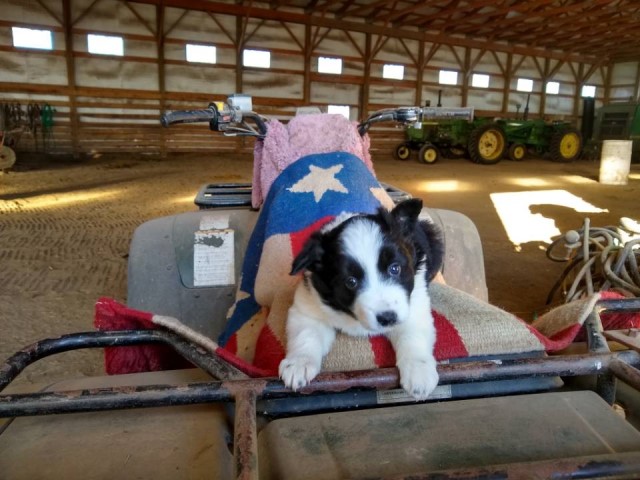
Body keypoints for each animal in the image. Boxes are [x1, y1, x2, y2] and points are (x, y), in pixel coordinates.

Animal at [280, 197, 444, 400]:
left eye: (395, 268)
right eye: (351, 281)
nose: (387, 318)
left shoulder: (413, 309)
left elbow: (413, 336)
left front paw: (419, 373)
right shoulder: (307, 306)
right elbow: (306, 334)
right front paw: (298, 364)